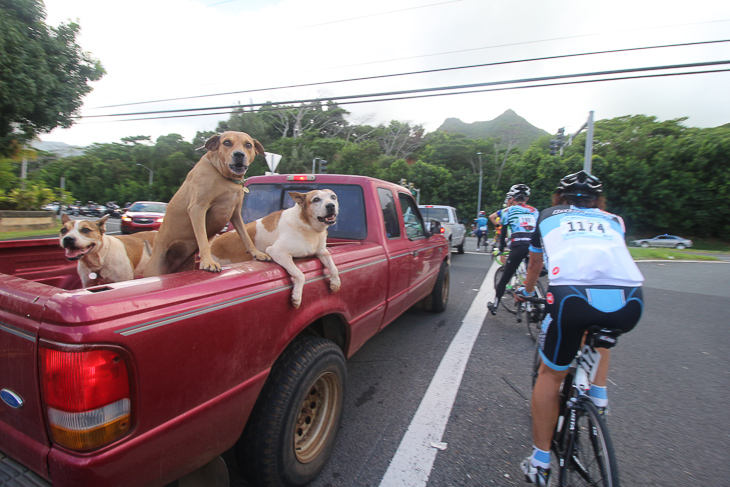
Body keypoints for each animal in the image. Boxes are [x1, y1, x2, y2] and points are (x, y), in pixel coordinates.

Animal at [142, 132, 270, 278]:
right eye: (227, 142)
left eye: (248, 144)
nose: (239, 154)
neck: (225, 178)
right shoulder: (198, 208)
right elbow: (203, 239)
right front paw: (208, 262)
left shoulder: (235, 213)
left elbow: (246, 237)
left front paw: (257, 253)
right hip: (155, 268)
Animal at [210, 191, 342, 308]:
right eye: (316, 199)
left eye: (333, 197)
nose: (331, 205)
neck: (308, 227)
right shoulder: (278, 252)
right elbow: (300, 274)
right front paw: (297, 296)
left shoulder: (322, 251)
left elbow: (334, 267)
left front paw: (335, 283)